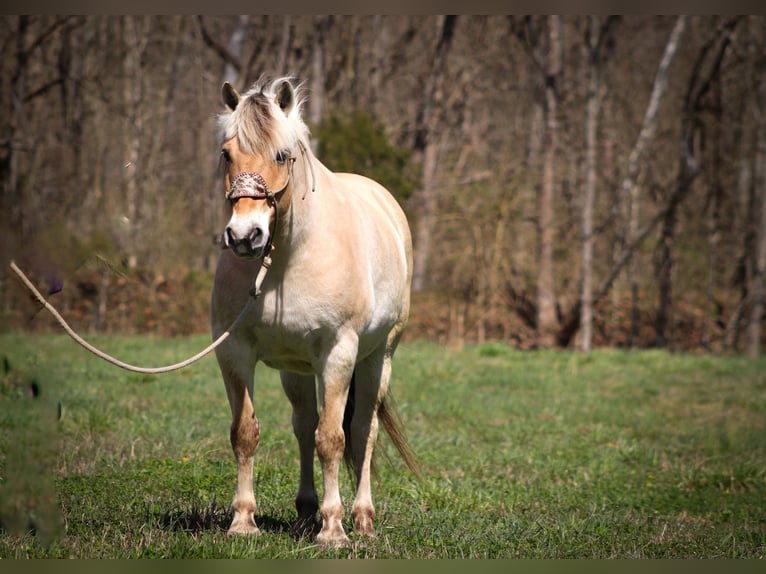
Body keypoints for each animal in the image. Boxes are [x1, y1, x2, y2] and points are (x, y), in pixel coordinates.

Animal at [212, 77, 420, 548]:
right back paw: (305, 513)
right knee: (304, 425)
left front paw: (334, 529)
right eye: (227, 154)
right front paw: (243, 521)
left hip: (378, 359)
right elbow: (246, 433)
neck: (288, 259)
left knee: (362, 430)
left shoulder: (338, 353)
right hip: (297, 369)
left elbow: (333, 438)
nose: (245, 236)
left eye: (281, 155)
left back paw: (361, 518)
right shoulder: (234, 352)